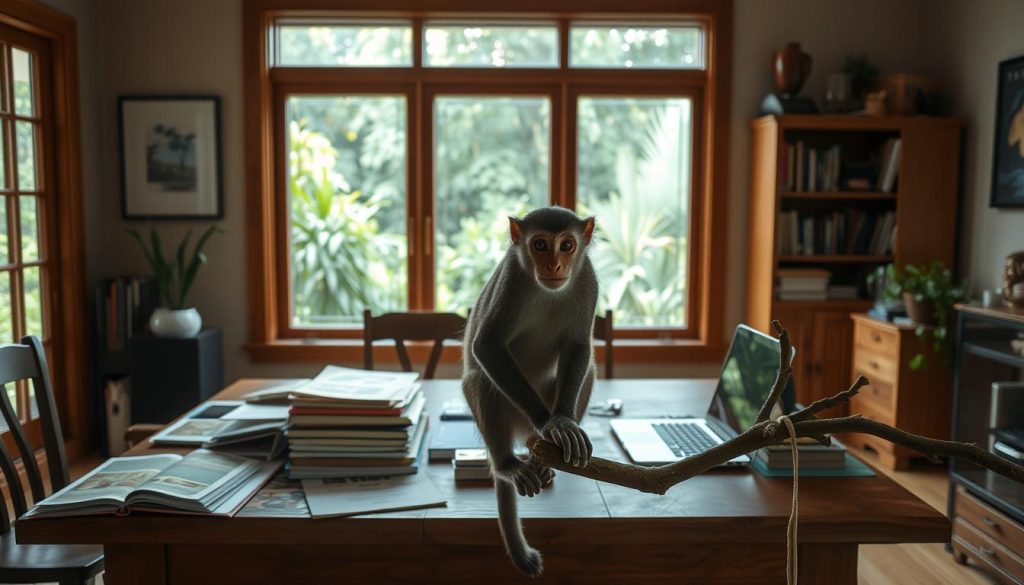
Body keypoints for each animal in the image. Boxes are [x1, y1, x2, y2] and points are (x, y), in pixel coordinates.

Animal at [462, 206, 598, 576]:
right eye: (539, 245)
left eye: (566, 245)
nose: (554, 266)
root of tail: (521, 432)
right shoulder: (512, 280)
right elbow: (487, 345)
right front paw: (548, 422)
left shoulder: (588, 281)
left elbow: (579, 346)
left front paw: (563, 422)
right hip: (509, 414)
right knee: (480, 380)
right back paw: (508, 463)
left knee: (590, 367)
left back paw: (542, 454)